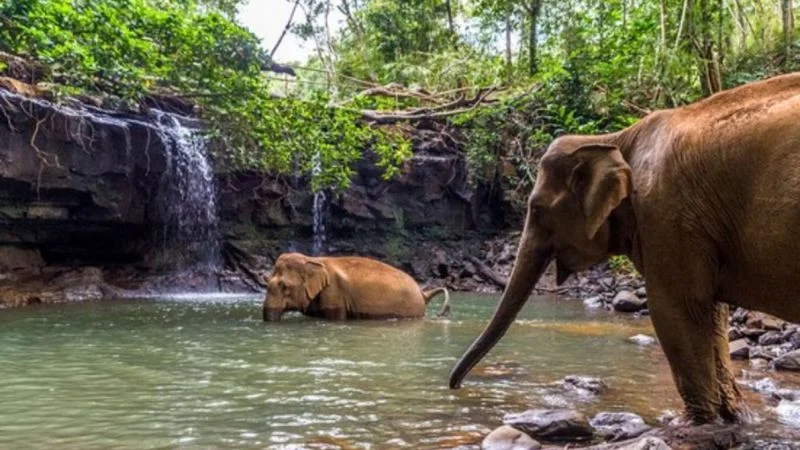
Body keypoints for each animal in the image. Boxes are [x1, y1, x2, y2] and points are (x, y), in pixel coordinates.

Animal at [449, 72, 800, 424]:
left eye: (536, 209)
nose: (454, 386)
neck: (614, 139)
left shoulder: (666, 214)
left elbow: (678, 308)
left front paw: (689, 422)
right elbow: (713, 313)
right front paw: (736, 417)